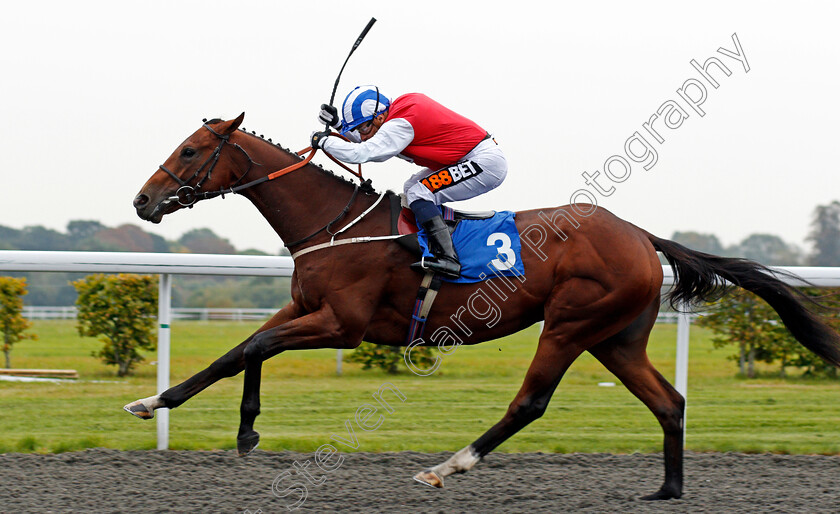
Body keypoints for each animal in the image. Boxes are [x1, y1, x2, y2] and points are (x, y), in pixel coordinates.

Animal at [126, 113, 840, 500]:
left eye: (191, 150)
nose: (142, 200)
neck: (333, 223)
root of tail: (641, 235)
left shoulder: (343, 324)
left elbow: (250, 347)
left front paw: (174, 408)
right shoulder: (303, 309)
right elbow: (243, 349)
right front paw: (203, 416)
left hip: (571, 323)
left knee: (531, 402)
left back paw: (448, 466)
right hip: (616, 336)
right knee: (669, 402)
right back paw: (667, 490)